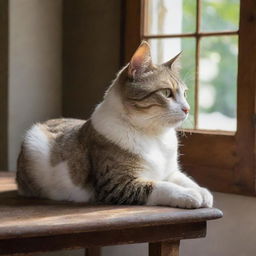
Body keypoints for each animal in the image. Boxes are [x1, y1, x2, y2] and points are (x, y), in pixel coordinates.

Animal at [15, 41, 212, 208]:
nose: (187, 108)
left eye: (185, 94)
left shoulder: (170, 171)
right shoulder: (117, 183)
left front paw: (202, 191)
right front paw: (188, 194)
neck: (154, 137)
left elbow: (184, 179)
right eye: (166, 93)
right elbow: (160, 186)